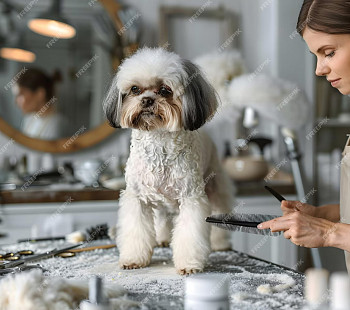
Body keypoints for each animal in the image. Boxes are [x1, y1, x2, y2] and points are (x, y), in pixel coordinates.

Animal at [104, 46, 235, 274]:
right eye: (135, 89)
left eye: (165, 90)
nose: (147, 100)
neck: (159, 144)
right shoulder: (137, 198)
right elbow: (136, 231)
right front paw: (134, 259)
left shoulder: (192, 198)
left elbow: (191, 234)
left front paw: (189, 264)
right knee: (162, 218)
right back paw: (162, 238)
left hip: (216, 186)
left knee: (219, 214)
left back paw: (220, 243)